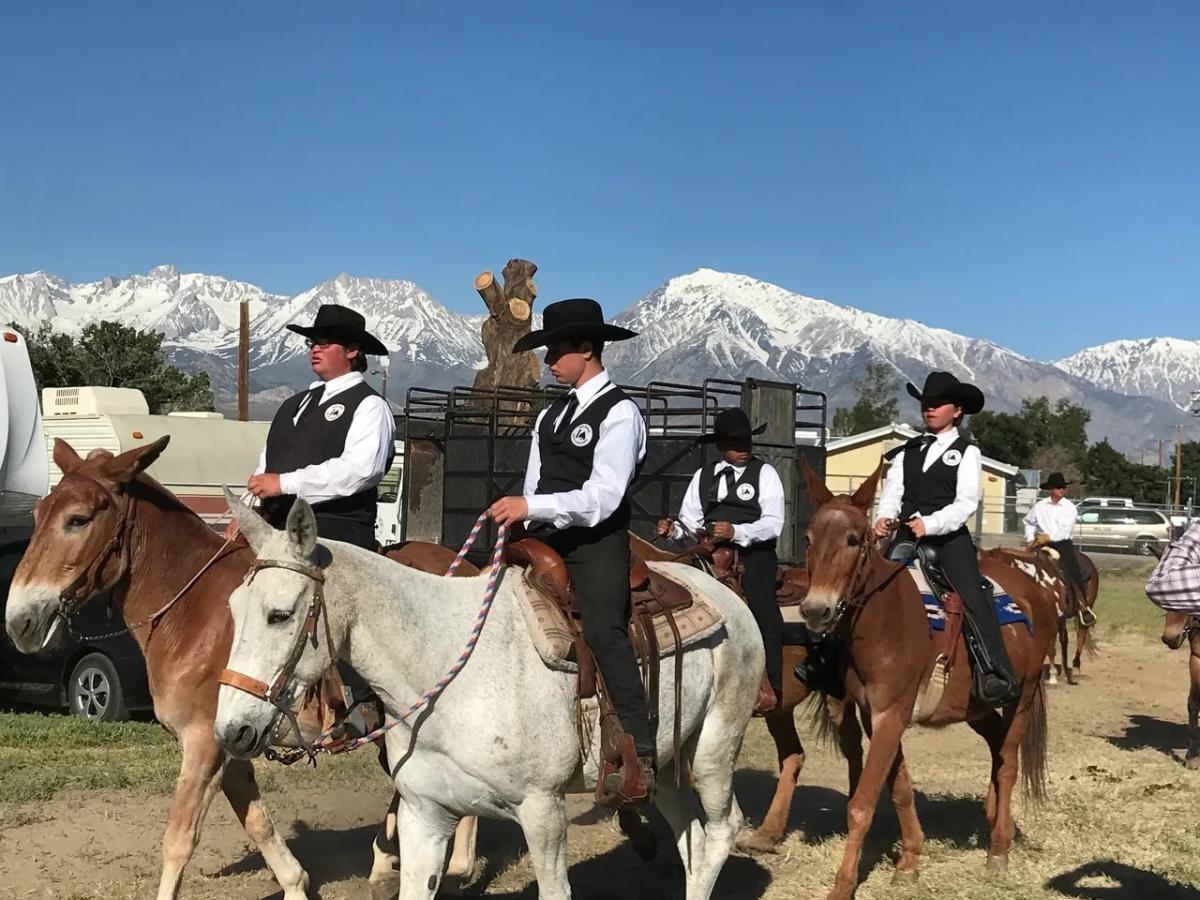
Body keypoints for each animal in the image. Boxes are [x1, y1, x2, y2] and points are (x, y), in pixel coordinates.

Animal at [4, 441, 480, 900]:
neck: (194, 615)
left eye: (78, 519)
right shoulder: (230, 744)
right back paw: (388, 862)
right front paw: (295, 885)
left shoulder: (202, 744)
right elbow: (257, 823)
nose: (19, 620)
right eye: (38, 514)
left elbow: (179, 839)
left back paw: (454, 865)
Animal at [213, 496, 758, 897]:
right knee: (692, 837)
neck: (444, 672)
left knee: (722, 829)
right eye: (232, 607)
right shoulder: (423, 816)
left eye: (280, 614)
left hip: (714, 750)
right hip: (666, 765)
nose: (231, 731)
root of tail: (726, 596)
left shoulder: (544, 814)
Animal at [801, 465, 1056, 900]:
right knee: (997, 748)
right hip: (977, 706)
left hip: (1022, 695)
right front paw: (909, 861)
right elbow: (899, 788)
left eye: (853, 539)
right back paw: (992, 817)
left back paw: (999, 849)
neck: (885, 618)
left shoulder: (890, 714)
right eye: (808, 538)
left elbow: (861, 804)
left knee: (1008, 762)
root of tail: (1036, 591)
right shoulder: (876, 716)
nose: (816, 610)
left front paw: (843, 885)